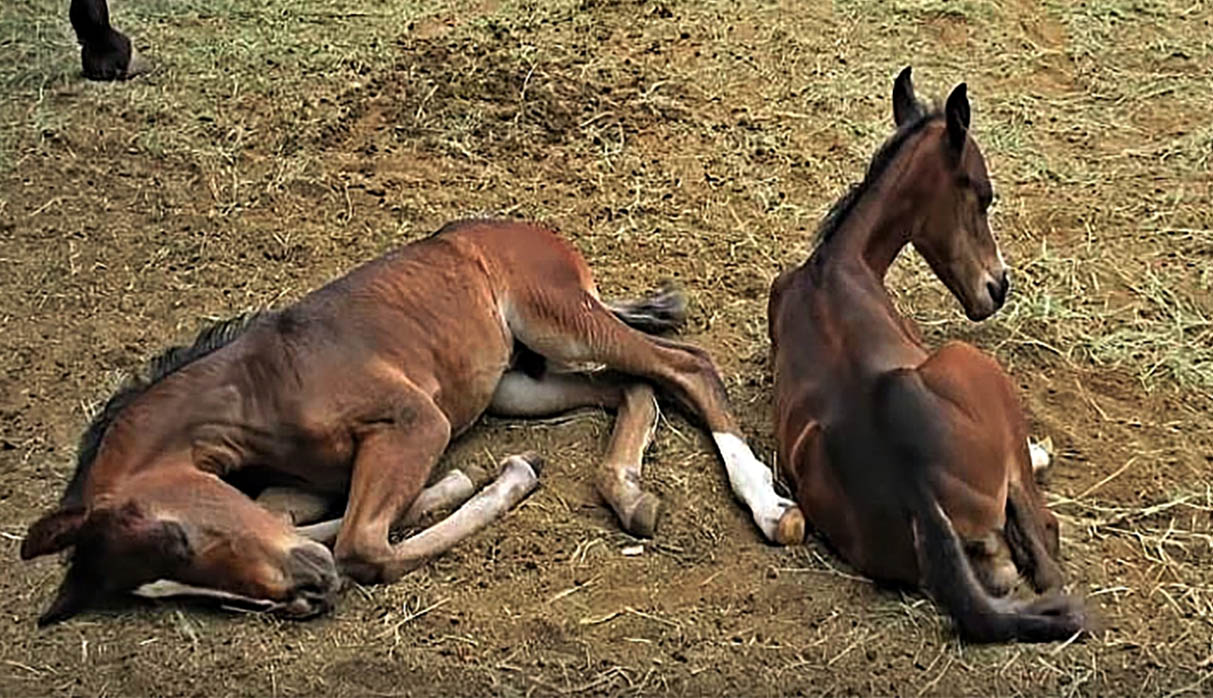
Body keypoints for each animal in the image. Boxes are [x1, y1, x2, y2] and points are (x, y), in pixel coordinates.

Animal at [21, 219, 805, 626]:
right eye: (170, 589)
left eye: (179, 540)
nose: (307, 596)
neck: (258, 389)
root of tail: (537, 233)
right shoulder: (299, 487)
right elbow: (309, 519)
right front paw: (467, 480)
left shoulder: (414, 421)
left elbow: (364, 545)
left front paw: (500, 477)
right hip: (515, 382)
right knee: (633, 388)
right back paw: (628, 492)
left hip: (555, 318)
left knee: (685, 365)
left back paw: (770, 509)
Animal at [771, 68, 1096, 640]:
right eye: (984, 194)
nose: (997, 287)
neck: (833, 265)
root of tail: (919, 494)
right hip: (972, 364)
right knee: (1044, 542)